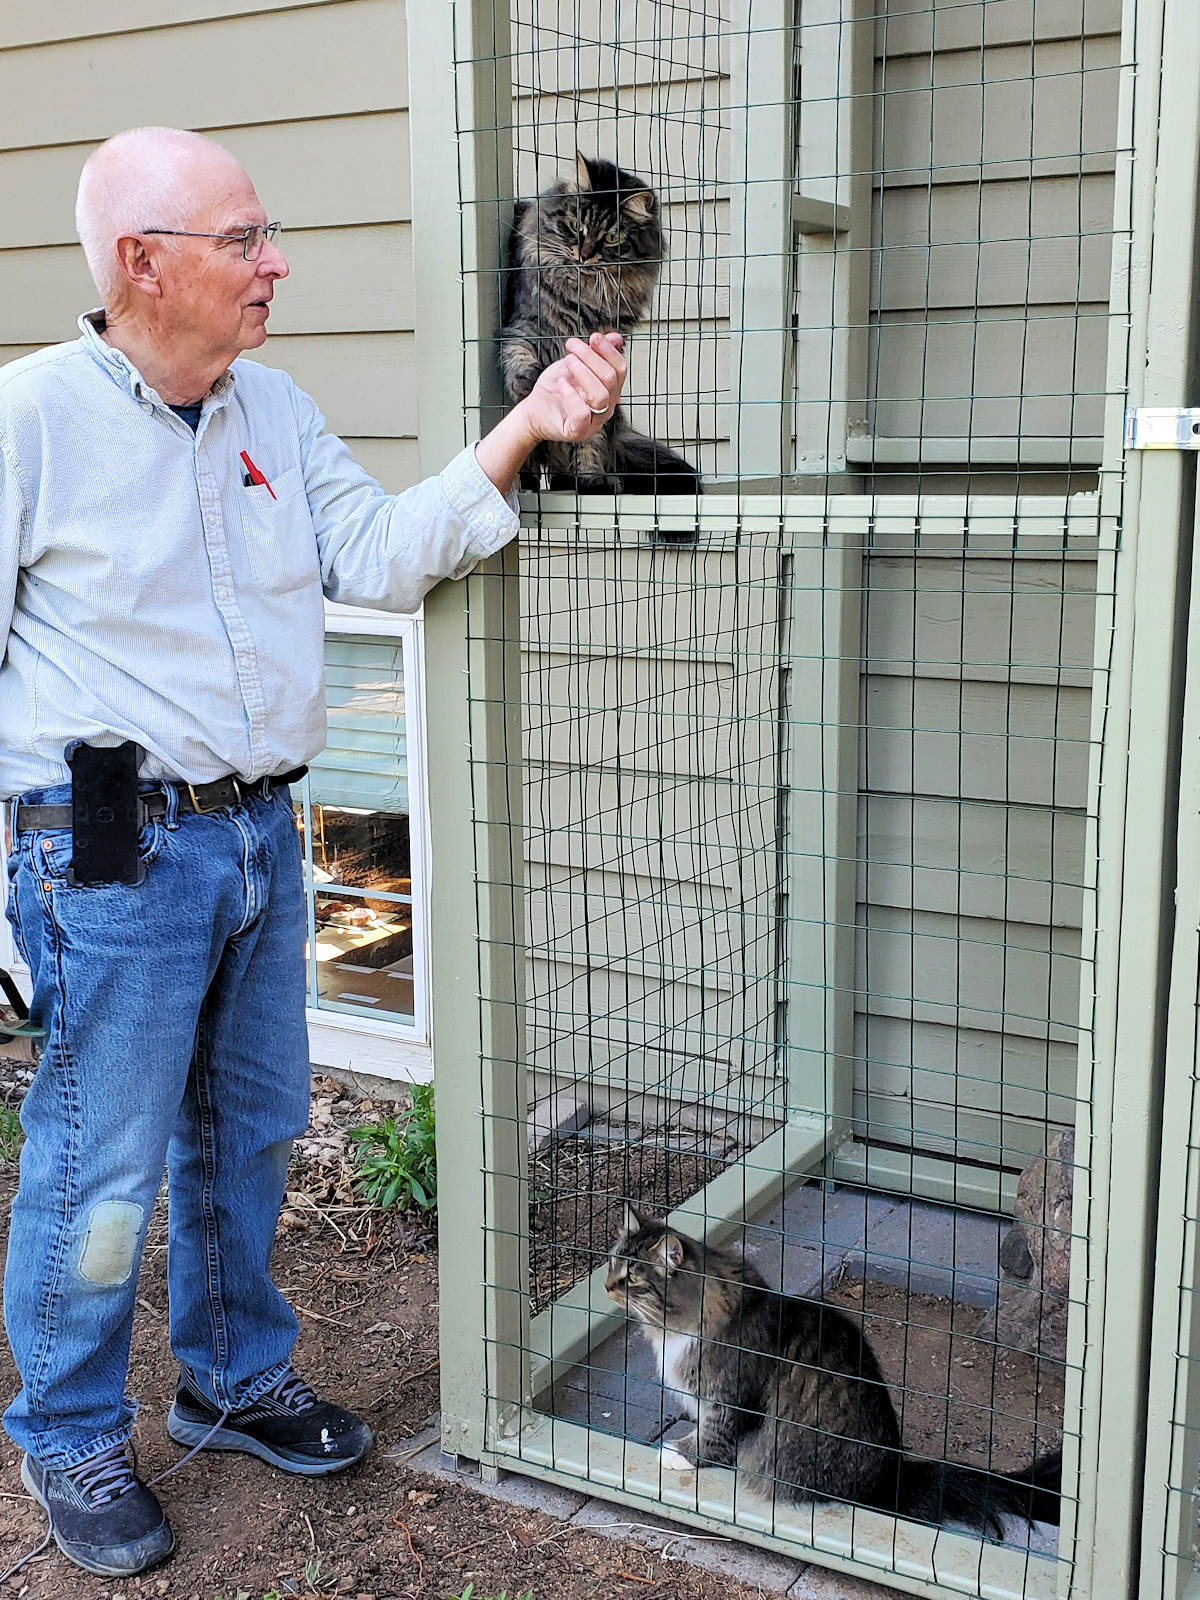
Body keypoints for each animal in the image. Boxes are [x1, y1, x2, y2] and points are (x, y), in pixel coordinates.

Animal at [499, 156, 704, 496]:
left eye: (611, 237)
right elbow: (518, 354)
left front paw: (591, 481)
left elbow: (589, 437)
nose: (583, 255)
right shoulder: (523, 325)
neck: (581, 294)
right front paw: (528, 380)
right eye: (575, 226)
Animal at [611, 1203, 1062, 1529]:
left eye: (632, 1279)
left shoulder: (728, 1395)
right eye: (613, 1263)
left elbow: (714, 1437)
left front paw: (680, 1454)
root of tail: (891, 1480)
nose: (605, 1285)